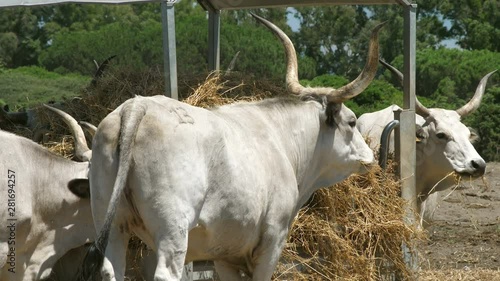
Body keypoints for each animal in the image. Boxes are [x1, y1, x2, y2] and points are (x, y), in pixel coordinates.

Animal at [74, 14, 382, 280]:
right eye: (352, 122)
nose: (371, 157)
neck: (282, 143)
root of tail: (138, 105)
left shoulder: (226, 254)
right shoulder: (272, 241)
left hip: (112, 224)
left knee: (111, 269)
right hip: (172, 229)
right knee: (166, 271)